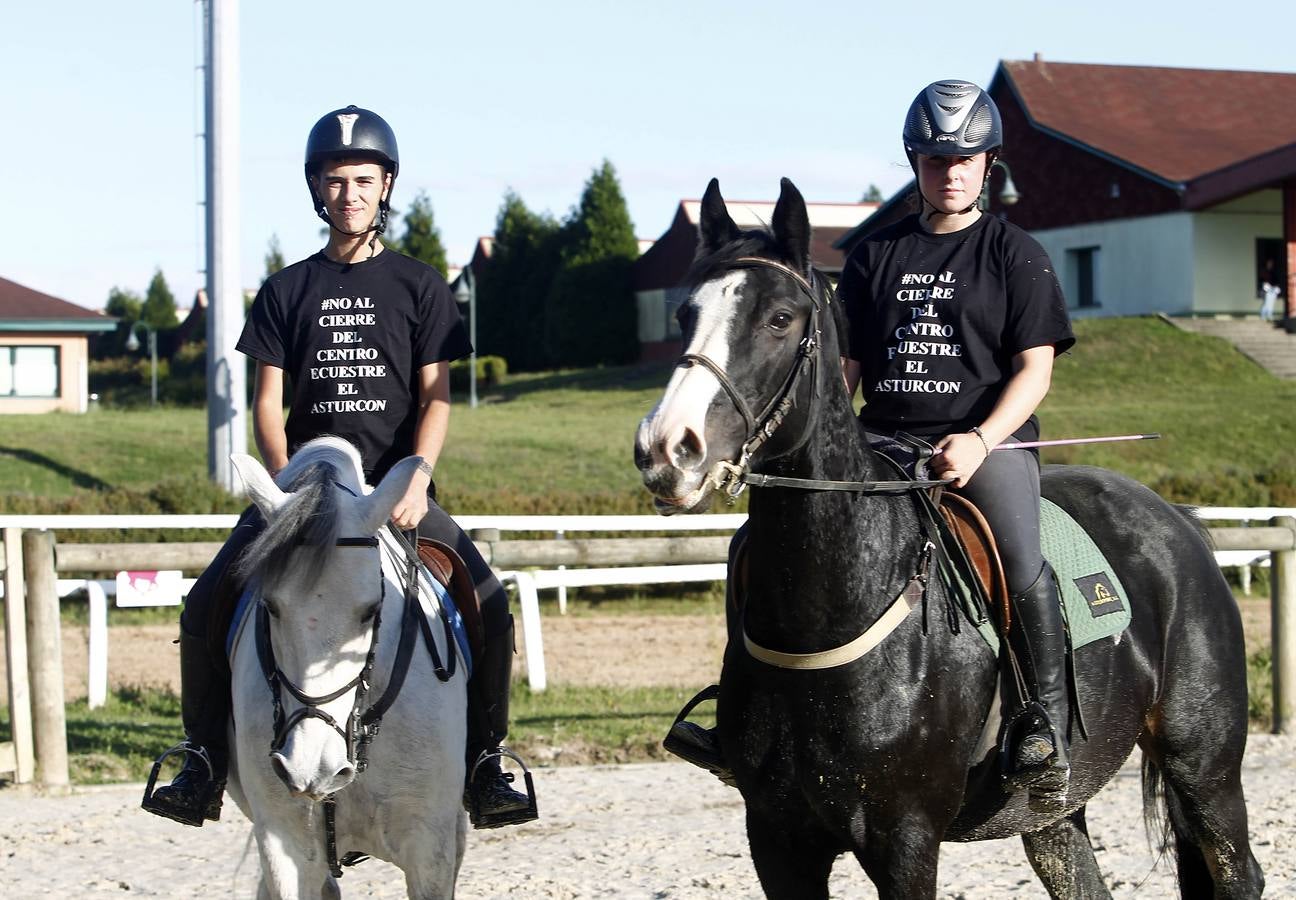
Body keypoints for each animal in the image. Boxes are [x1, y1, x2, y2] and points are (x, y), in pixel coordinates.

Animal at [632, 177, 1259, 900]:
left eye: (779, 320)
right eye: (686, 315)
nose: (666, 449)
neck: (838, 600)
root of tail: (1178, 521)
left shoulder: (904, 839)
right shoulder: (777, 840)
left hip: (1205, 770)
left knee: (1239, 870)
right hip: (1053, 813)